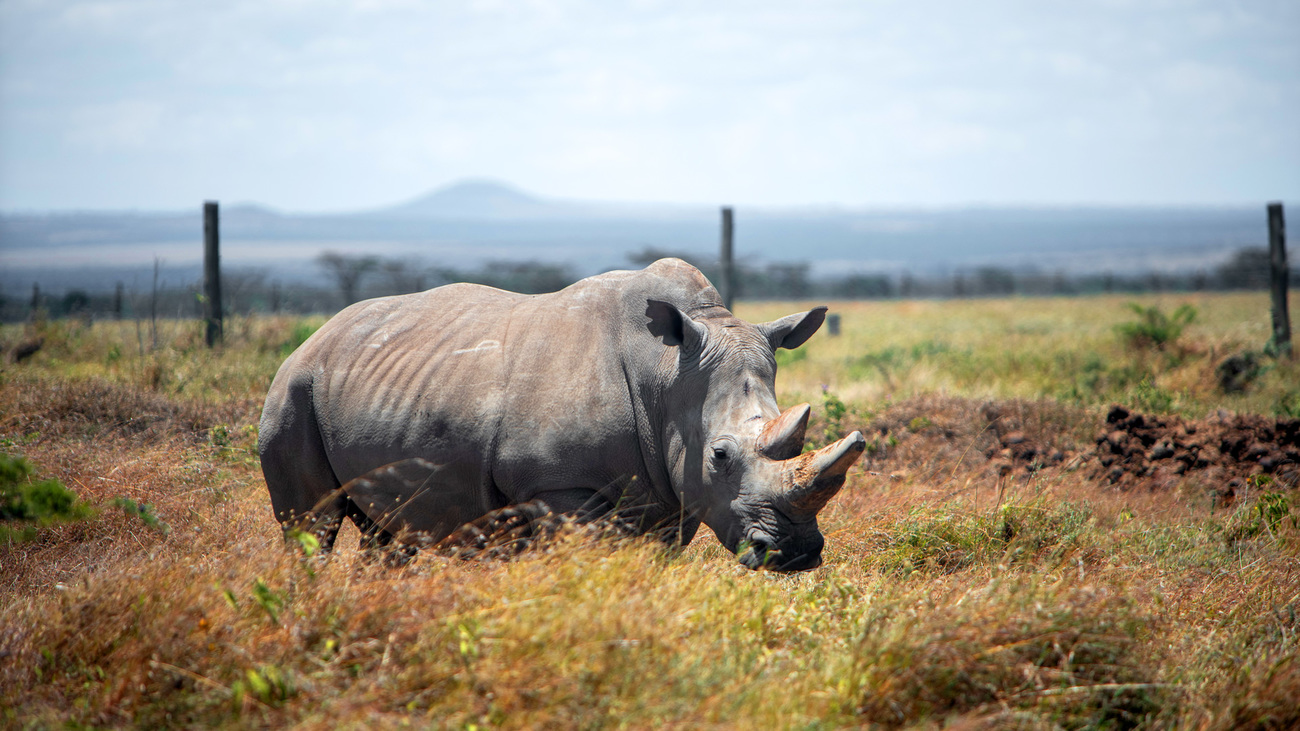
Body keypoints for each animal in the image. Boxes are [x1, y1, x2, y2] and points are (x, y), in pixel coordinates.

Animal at [259, 258, 865, 571]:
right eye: (720, 455)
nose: (796, 552)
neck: (667, 375)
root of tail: (316, 335)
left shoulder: (673, 495)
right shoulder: (558, 487)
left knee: (388, 533)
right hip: (293, 390)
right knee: (310, 523)